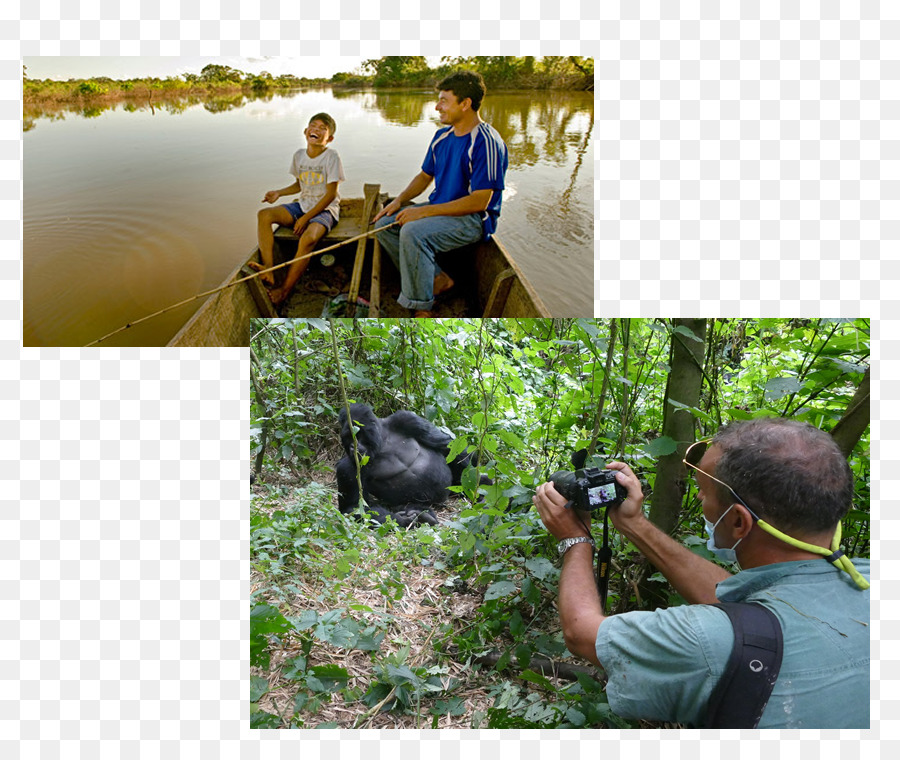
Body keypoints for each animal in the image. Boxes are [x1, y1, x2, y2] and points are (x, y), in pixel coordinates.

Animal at [334, 404, 486, 528]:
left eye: (357, 434)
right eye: (347, 437)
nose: (352, 446)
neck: (382, 442)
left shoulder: (406, 419)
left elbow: (448, 446)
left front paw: (482, 481)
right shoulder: (347, 467)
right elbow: (353, 507)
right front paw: (401, 519)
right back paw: (422, 517)